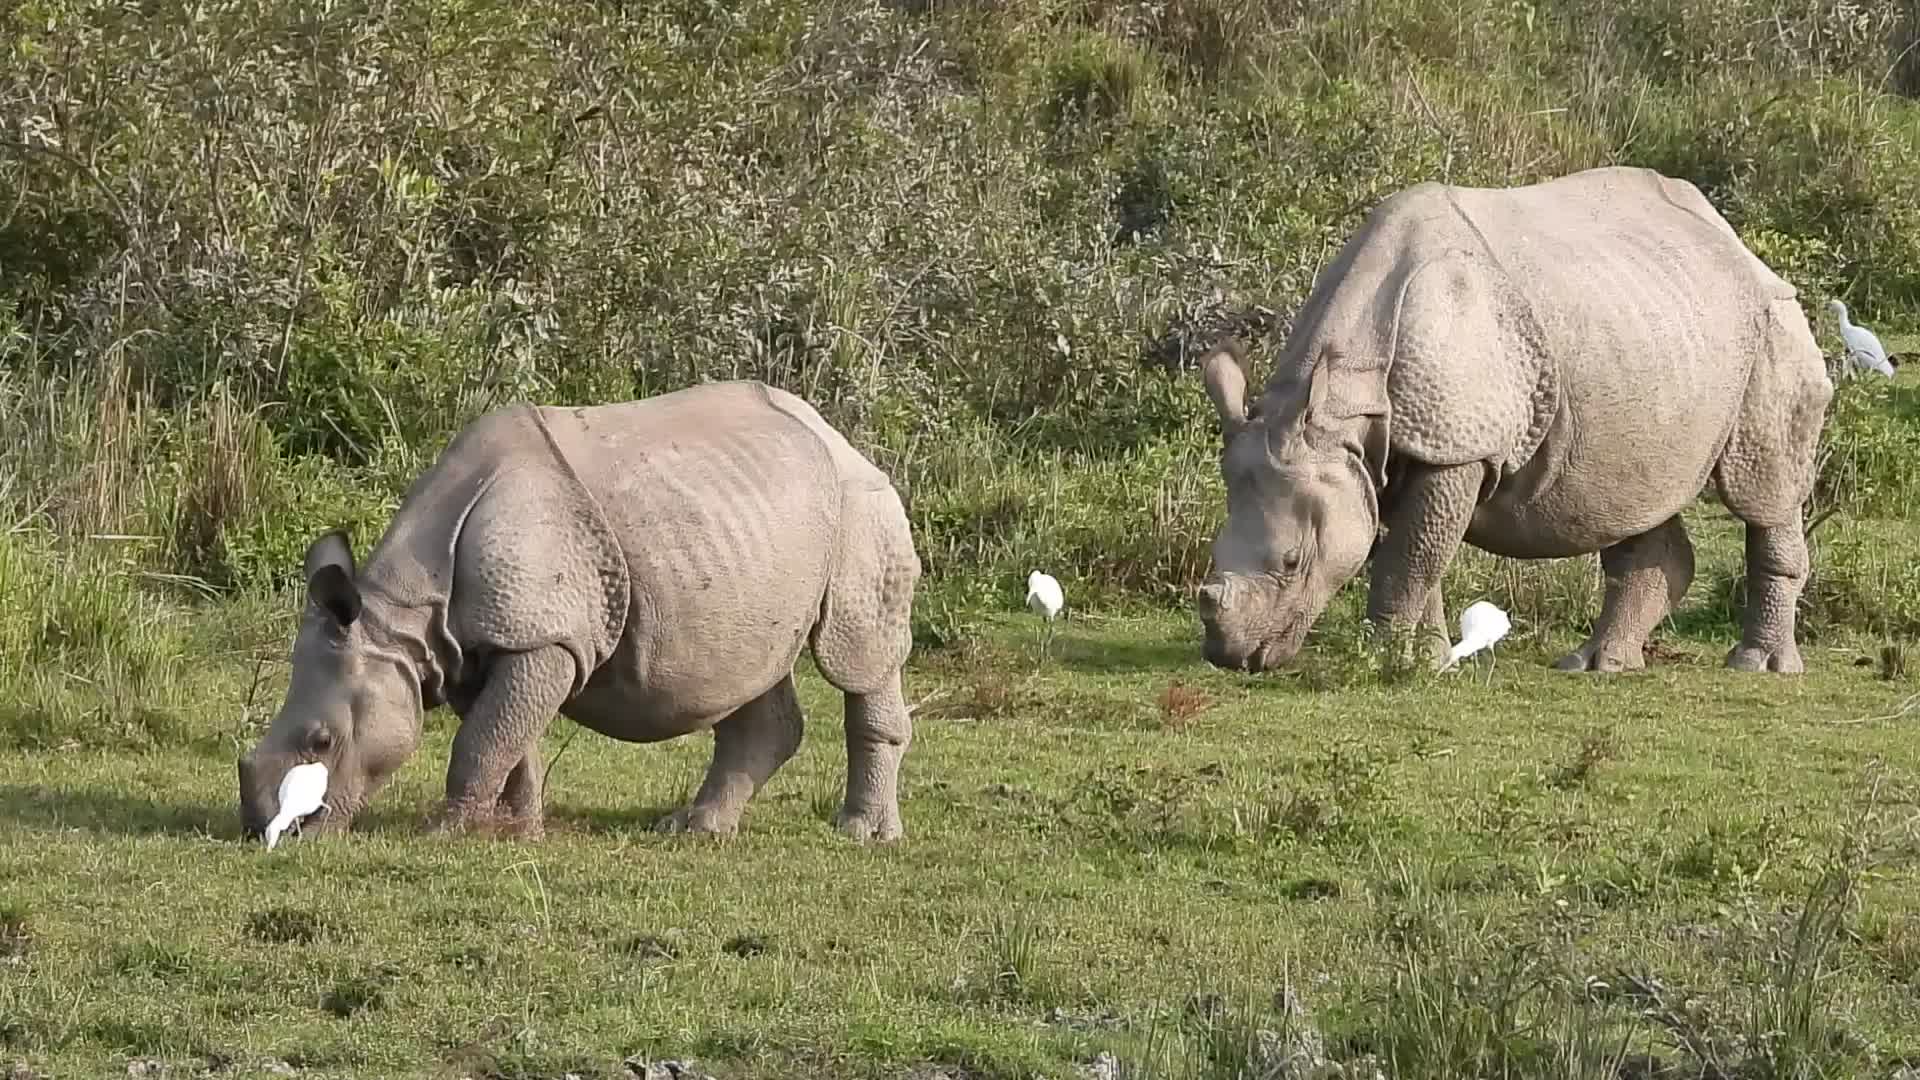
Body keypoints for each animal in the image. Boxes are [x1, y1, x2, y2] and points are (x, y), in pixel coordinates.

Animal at [238, 380, 922, 843]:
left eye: (322, 742)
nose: (264, 829)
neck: (398, 621)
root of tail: (837, 434)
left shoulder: (540, 637)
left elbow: (481, 740)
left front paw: (447, 834)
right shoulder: (489, 643)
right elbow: (508, 738)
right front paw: (516, 831)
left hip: (862, 504)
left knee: (857, 658)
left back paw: (862, 835)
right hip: (762, 532)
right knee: (750, 668)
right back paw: (695, 828)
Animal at [1196, 166, 1832, 675]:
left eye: (1293, 562)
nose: (1231, 658)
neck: (1339, 407)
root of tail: (1735, 240)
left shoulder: (1455, 444)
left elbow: (1411, 557)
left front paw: (1385, 662)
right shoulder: (1418, 442)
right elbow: (1421, 554)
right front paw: (1427, 661)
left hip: (1772, 324)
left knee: (1762, 491)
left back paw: (1758, 666)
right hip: (1653, 331)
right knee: (1633, 497)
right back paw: (1597, 666)